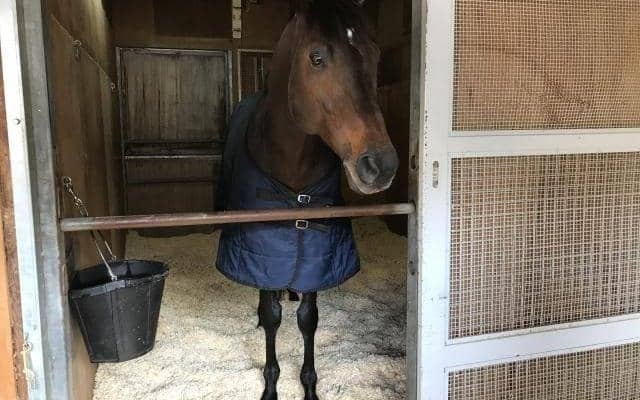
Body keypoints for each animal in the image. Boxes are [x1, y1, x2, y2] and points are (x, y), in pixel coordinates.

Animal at [215, 1, 398, 399]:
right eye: (317, 58)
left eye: (375, 55)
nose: (380, 165)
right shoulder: (263, 253)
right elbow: (272, 318)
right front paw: (270, 385)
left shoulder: (317, 255)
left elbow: (308, 320)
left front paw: (309, 386)